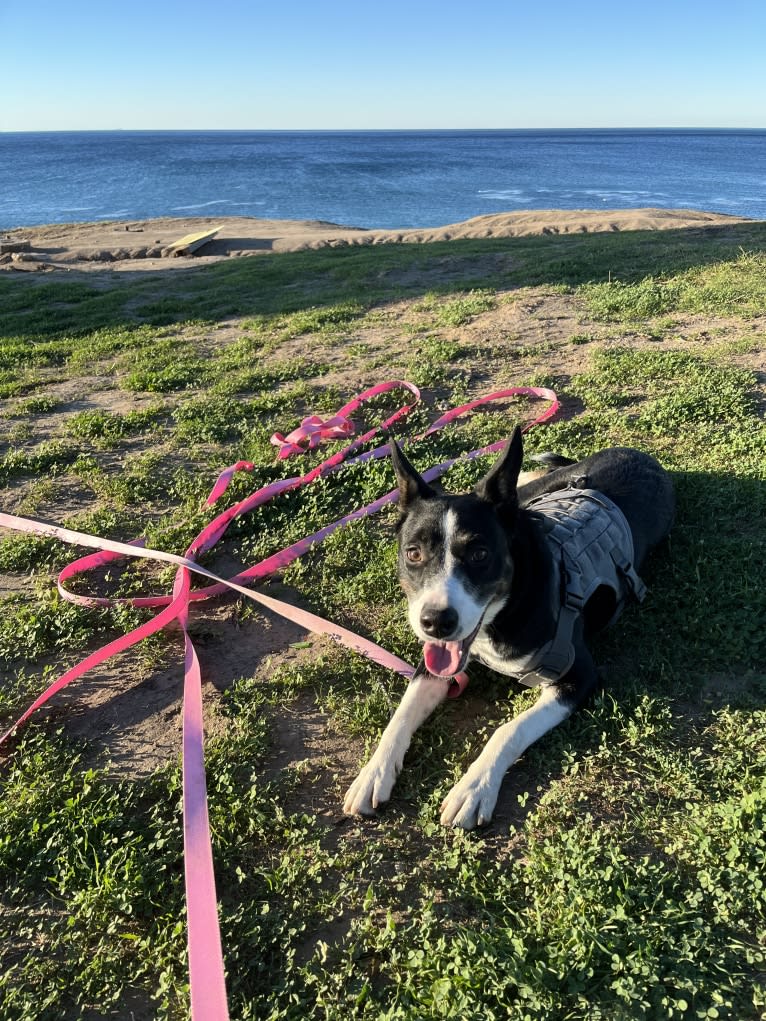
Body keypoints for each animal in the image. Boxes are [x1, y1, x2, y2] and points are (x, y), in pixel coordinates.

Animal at [345, 424, 674, 829]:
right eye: (413, 553)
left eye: (480, 554)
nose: (435, 622)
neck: (501, 615)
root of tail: (635, 453)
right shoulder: (435, 662)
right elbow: (402, 713)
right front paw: (373, 774)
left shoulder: (578, 676)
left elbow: (508, 730)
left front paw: (474, 789)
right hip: (534, 494)